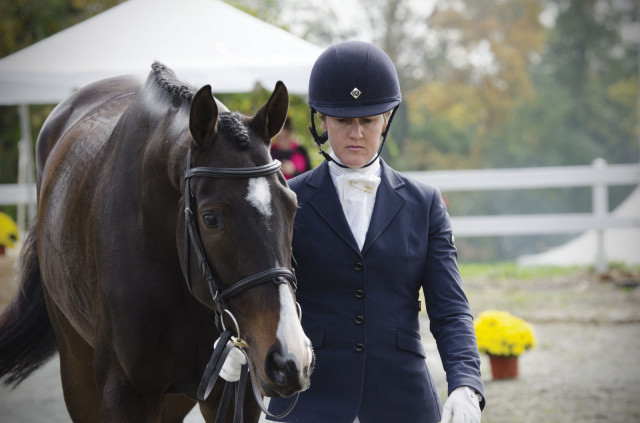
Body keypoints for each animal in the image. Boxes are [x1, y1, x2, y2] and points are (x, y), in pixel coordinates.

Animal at [0, 63, 316, 423]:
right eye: (210, 218)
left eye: (292, 204)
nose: (291, 358)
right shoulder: (126, 395)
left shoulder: (235, 393)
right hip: (76, 364)